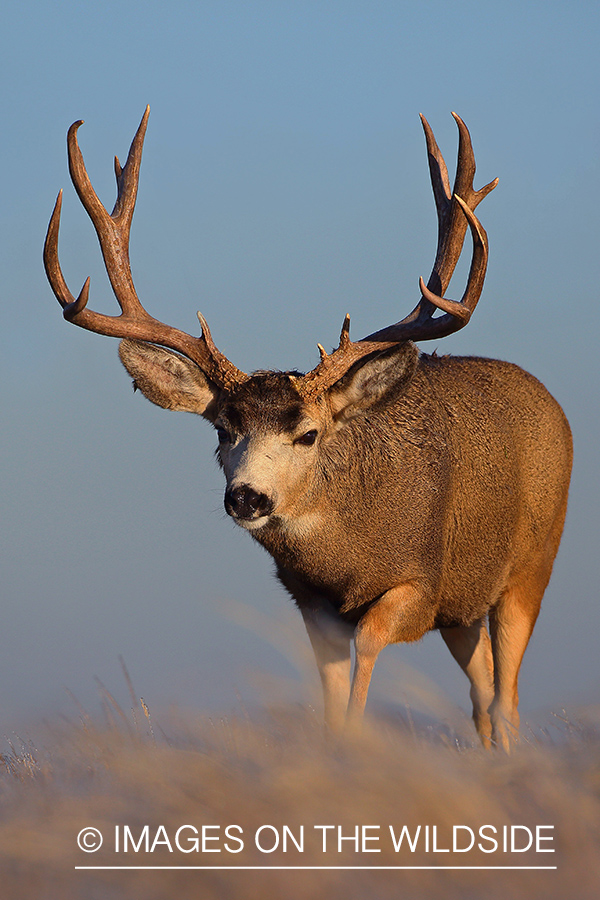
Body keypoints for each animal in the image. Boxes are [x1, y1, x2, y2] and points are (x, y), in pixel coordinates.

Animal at [43, 107, 572, 752]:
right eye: (222, 430)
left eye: (309, 434)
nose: (247, 497)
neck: (343, 556)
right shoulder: (311, 602)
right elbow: (330, 698)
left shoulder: (420, 585)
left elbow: (369, 649)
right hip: (466, 606)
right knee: (483, 694)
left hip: (529, 570)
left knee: (507, 698)